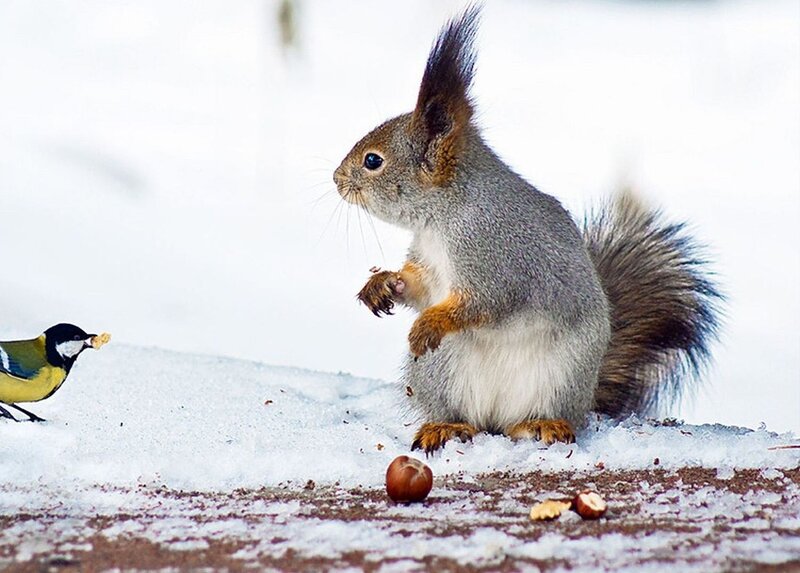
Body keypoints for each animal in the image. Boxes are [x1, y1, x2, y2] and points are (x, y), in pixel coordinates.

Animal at [333, 6, 722, 454]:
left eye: (373, 161)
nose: (336, 179)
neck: (441, 221)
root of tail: (497, 417)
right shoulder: (429, 263)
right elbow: (419, 287)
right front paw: (382, 284)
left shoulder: (497, 255)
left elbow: (485, 302)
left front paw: (430, 322)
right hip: (441, 370)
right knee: (464, 416)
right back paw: (446, 426)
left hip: (560, 373)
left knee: (535, 414)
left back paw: (541, 424)